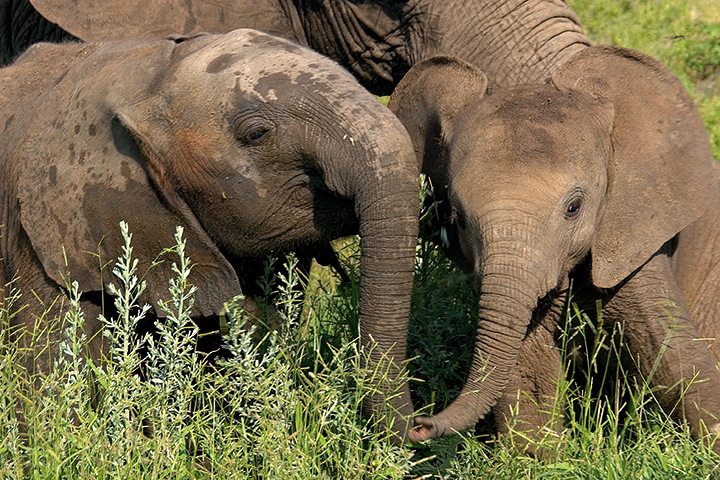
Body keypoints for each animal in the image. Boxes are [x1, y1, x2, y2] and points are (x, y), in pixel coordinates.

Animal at [388, 46, 720, 452]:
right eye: (459, 217)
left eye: (574, 207)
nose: (419, 425)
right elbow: (527, 360)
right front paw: (536, 457)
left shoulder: (633, 231)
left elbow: (672, 352)